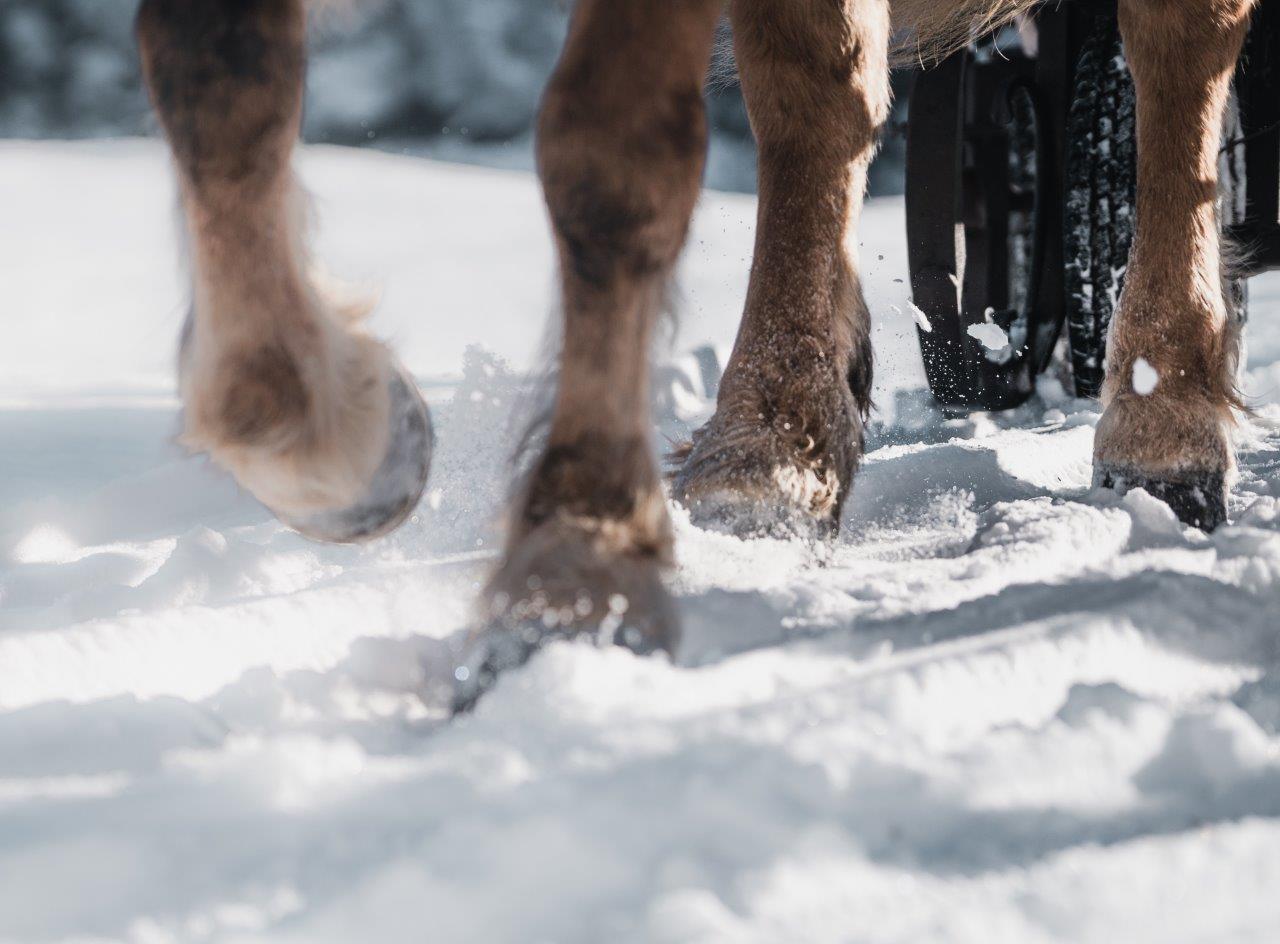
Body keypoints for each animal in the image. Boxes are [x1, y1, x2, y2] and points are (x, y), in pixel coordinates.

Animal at [133, 0, 1253, 689]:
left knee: (1181, 52)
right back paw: (779, 434)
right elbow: (214, 69)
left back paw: (1161, 415)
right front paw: (328, 433)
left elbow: (607, 151)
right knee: (820, 96)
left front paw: (575, 564)